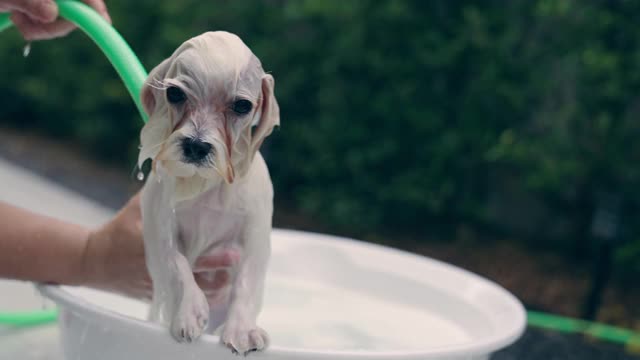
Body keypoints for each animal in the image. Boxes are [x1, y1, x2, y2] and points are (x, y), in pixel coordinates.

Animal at [138, 31, 278, 354]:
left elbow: (246, 282)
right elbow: (177, 266)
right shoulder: (163, 227)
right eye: (175, 94)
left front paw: (241, 329)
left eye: (241, 105)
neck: (207, 184)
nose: (196, 146)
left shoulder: (255, 236)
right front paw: (190, 311)